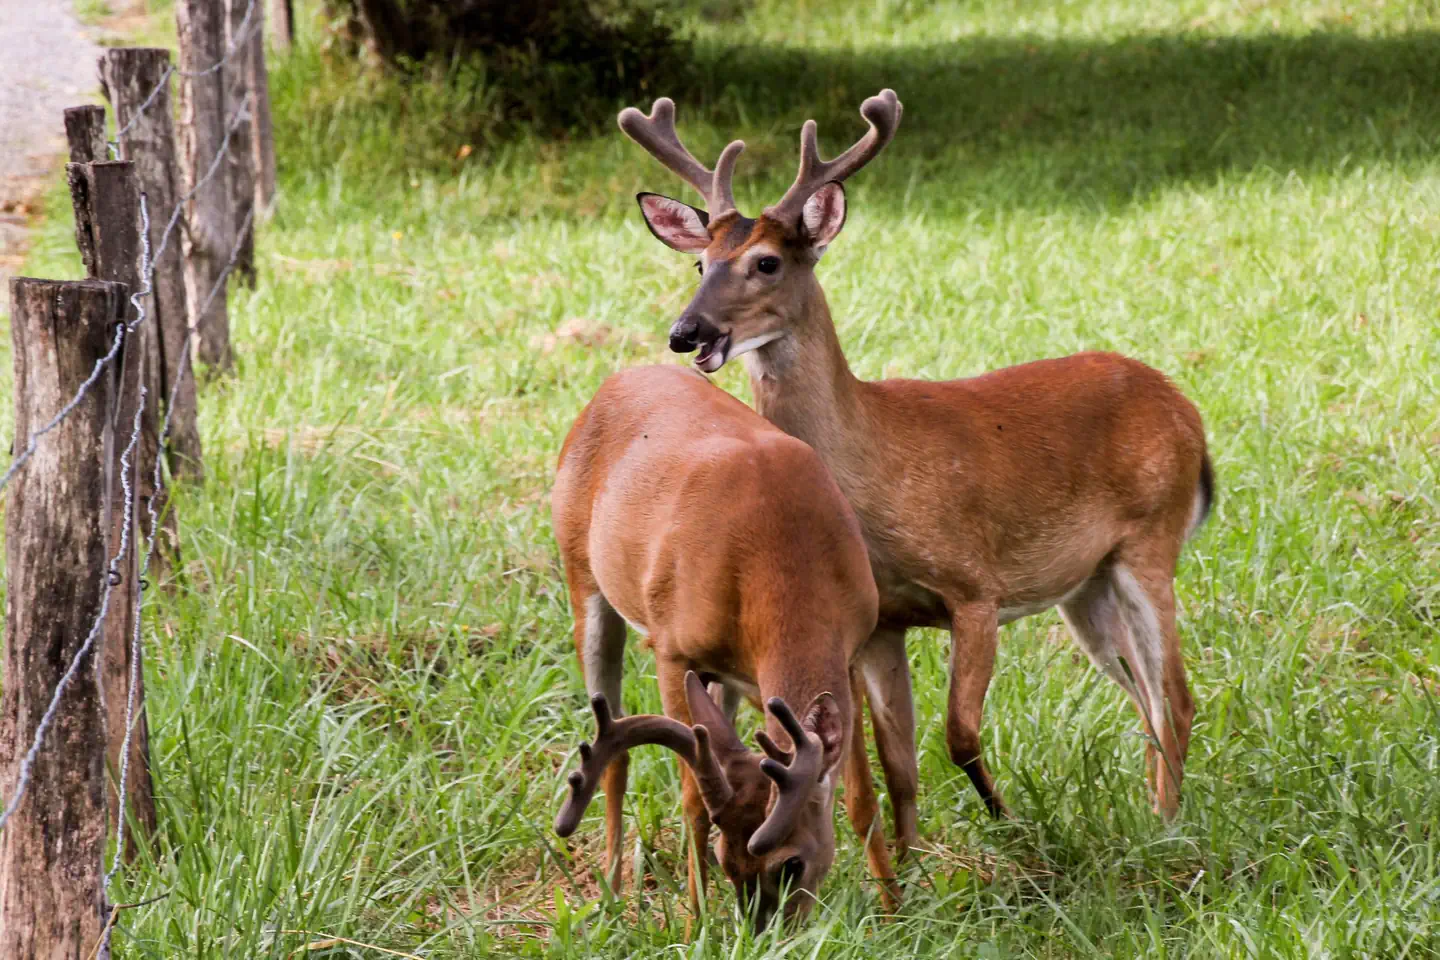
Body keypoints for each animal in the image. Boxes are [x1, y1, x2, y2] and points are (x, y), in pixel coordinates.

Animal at [549, 364, 917, 929]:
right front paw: (693, 923)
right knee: (613, 753)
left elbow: (860, 795)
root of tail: (611, 385)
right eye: (729, 862)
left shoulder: (851, 646)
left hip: (720, 680)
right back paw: (611, 893)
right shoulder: (671, 648)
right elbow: (693, 800)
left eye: (791, 864)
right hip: (582, 577)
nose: (766, 933)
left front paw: (894, 908)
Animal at [619, 91, 1215, 831]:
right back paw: (1152, 816)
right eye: (700, 264)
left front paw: (1011, 824)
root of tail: (1188, 413)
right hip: (1088, 584)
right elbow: (891, 763)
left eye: (767, 262)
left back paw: (1168, 827)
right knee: (1145, 697)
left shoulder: (976, 587)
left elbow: (958, 734)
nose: (686, 331)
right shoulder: (881, 621)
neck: (873, 474)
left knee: (1177, 697)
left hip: (1150, 540)